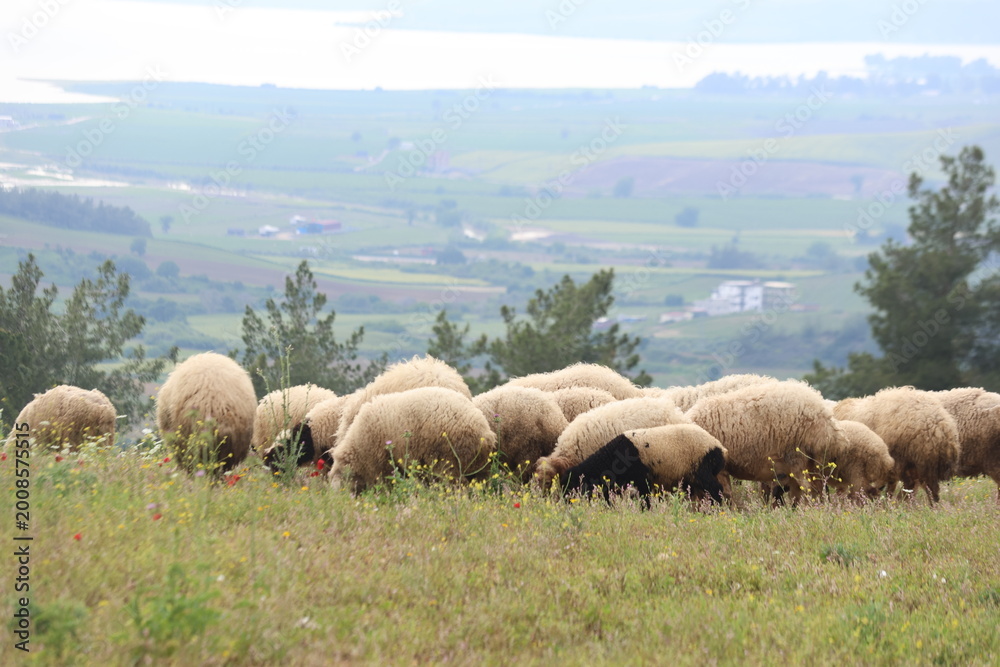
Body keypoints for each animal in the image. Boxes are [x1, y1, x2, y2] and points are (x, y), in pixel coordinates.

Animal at [330, 387, 495, 495]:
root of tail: (484, 433)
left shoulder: (379, 463)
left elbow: (385, 484)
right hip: (480, 468)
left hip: (448, 460)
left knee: (457, 486)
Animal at [544, 424, 728, 505]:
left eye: (573, 487)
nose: (566, 504)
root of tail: (720, 448)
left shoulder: (641, 480)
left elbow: (645, 500)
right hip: (692, 477)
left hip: (702, 469)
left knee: (716, 489)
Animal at [687, 380, 847, 506]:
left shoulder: (718, 469)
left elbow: (724, 494)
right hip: (812, 463)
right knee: (815, 490)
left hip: (797, 458)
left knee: (807, 489)